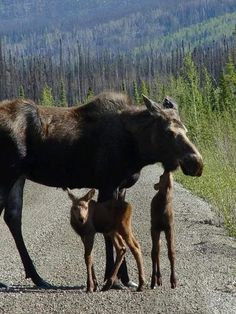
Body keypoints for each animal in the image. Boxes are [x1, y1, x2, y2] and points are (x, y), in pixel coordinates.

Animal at [0, 92, 203, 288]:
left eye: (185, 130)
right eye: (169, 131)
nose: (197, 163)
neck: (138, 150)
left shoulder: (120, 188)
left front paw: (124, 278)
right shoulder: (108, 185)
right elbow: (109, 234)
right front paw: (110, 279)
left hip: (19, 177)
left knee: (13, 217)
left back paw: (37, 278)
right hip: (7, 175)